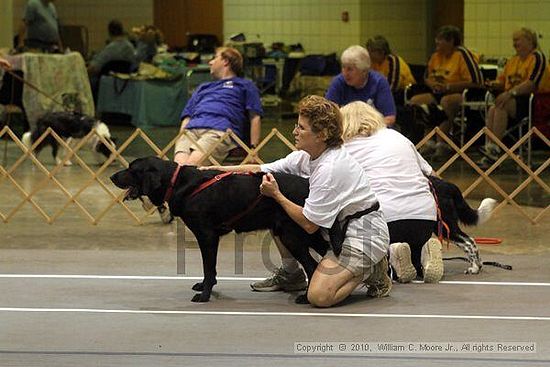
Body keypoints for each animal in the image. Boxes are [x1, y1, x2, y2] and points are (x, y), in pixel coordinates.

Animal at [110, 157, 330, 304]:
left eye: (131, 169)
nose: (111, 176)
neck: (177, 183)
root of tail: (308, 184)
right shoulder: (210, 237)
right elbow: (210, 269)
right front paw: (204, 286)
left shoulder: (206, 235)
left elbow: (208, 267)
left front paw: (204, 295)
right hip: (304, 234)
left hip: (291, 235)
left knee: (312, 266)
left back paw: (306, 297)